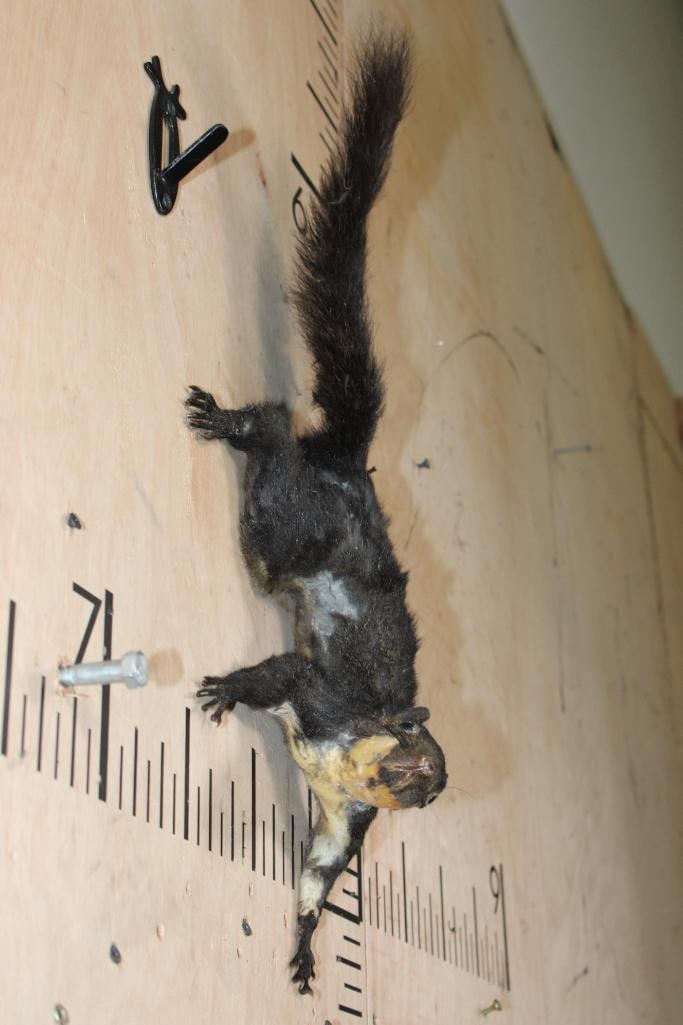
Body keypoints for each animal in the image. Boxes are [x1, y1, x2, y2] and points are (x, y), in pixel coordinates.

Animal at [186, 29, 447, 995]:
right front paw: (228, 689)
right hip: (286, 528)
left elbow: (319, 873)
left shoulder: (343, 819)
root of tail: (349, 468)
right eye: (409, 747)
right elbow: (283, 676)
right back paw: (232, 421)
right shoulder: (323, 696)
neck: (346, 762)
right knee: (274, 441)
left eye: (427, 781)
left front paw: (303, 947)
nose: (417, 785)